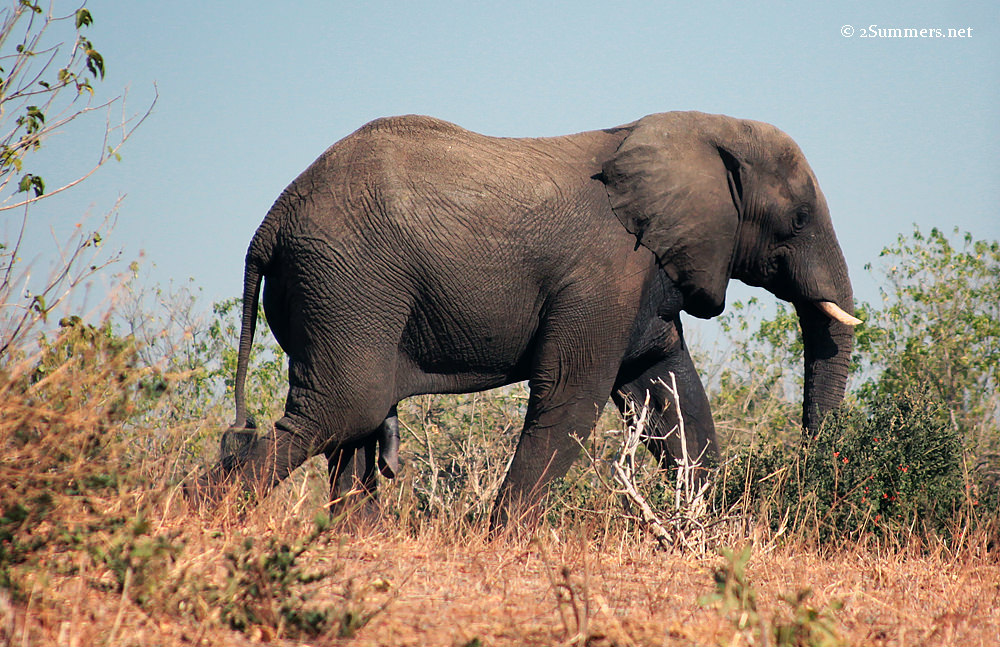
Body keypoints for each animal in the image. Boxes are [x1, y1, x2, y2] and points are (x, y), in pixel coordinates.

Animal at [189, 111, 860, 526]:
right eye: (799, 219)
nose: (808, 460)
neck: (693, 129)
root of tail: (269, 223)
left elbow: (667, 392)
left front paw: (711, 528)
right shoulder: (607, 268)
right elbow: (572, 397)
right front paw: (498, 539)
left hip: (335, 290)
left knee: (352, 424)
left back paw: (354, 541)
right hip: (347, 281)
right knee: (346, 405)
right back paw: (199, 514)